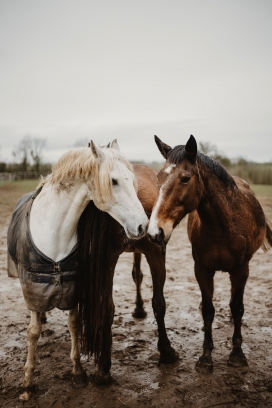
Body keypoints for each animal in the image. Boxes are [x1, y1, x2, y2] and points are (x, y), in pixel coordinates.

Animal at [7, 139, 148, 398]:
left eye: (132, 180)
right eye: (113, 181)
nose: (143, 225)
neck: (54, 233)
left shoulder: (72, 287)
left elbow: (74, 324)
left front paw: (77, 370)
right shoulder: (33, 290)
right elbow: (33, 332)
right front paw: (28, 382)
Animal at [77, 162, 178, 382]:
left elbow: (136, 276)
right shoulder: (154, 251)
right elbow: (152, 295)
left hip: (107, 260)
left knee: (106, 307)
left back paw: (104, 367)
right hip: (153, 253)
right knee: (157, 302)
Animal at [149, 135, 272, 372]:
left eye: (185, 178)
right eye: (158, 177)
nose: (155, 232)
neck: (224, 227)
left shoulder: (241, 270)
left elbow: (237, 307)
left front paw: (237, 353)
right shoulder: (202, 270)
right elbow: (208, 310)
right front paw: (206, 356)